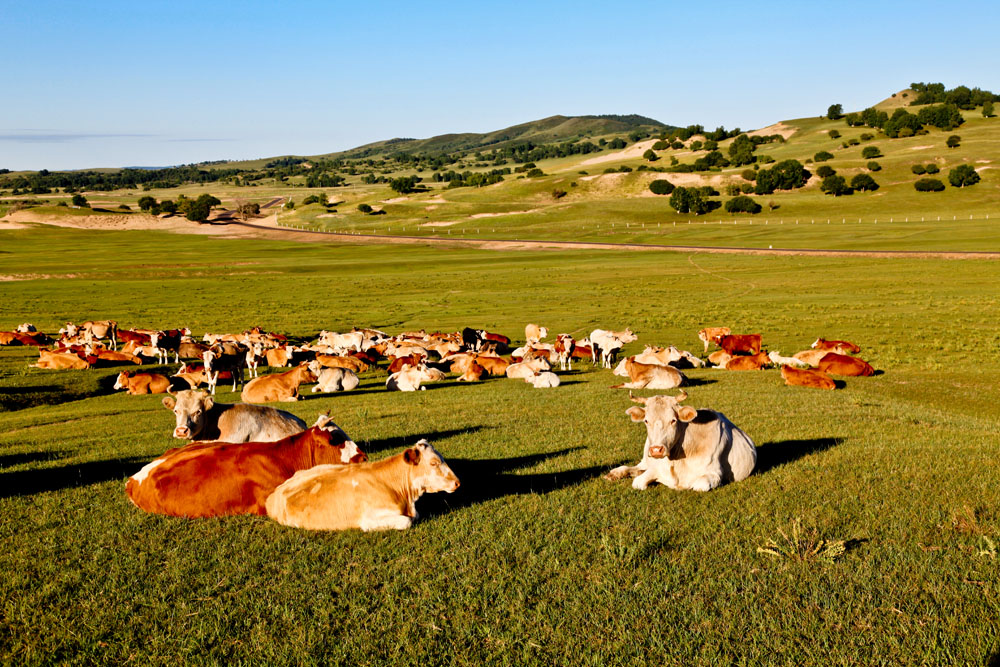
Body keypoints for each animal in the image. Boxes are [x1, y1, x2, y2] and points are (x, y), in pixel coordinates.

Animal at [600, 394, 756, 494]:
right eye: (646, 420)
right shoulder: (657, 466)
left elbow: (699, 484)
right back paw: (614, 473)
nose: (656, 450)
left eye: (673, 420)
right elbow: (638, 482)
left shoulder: (715, 472)